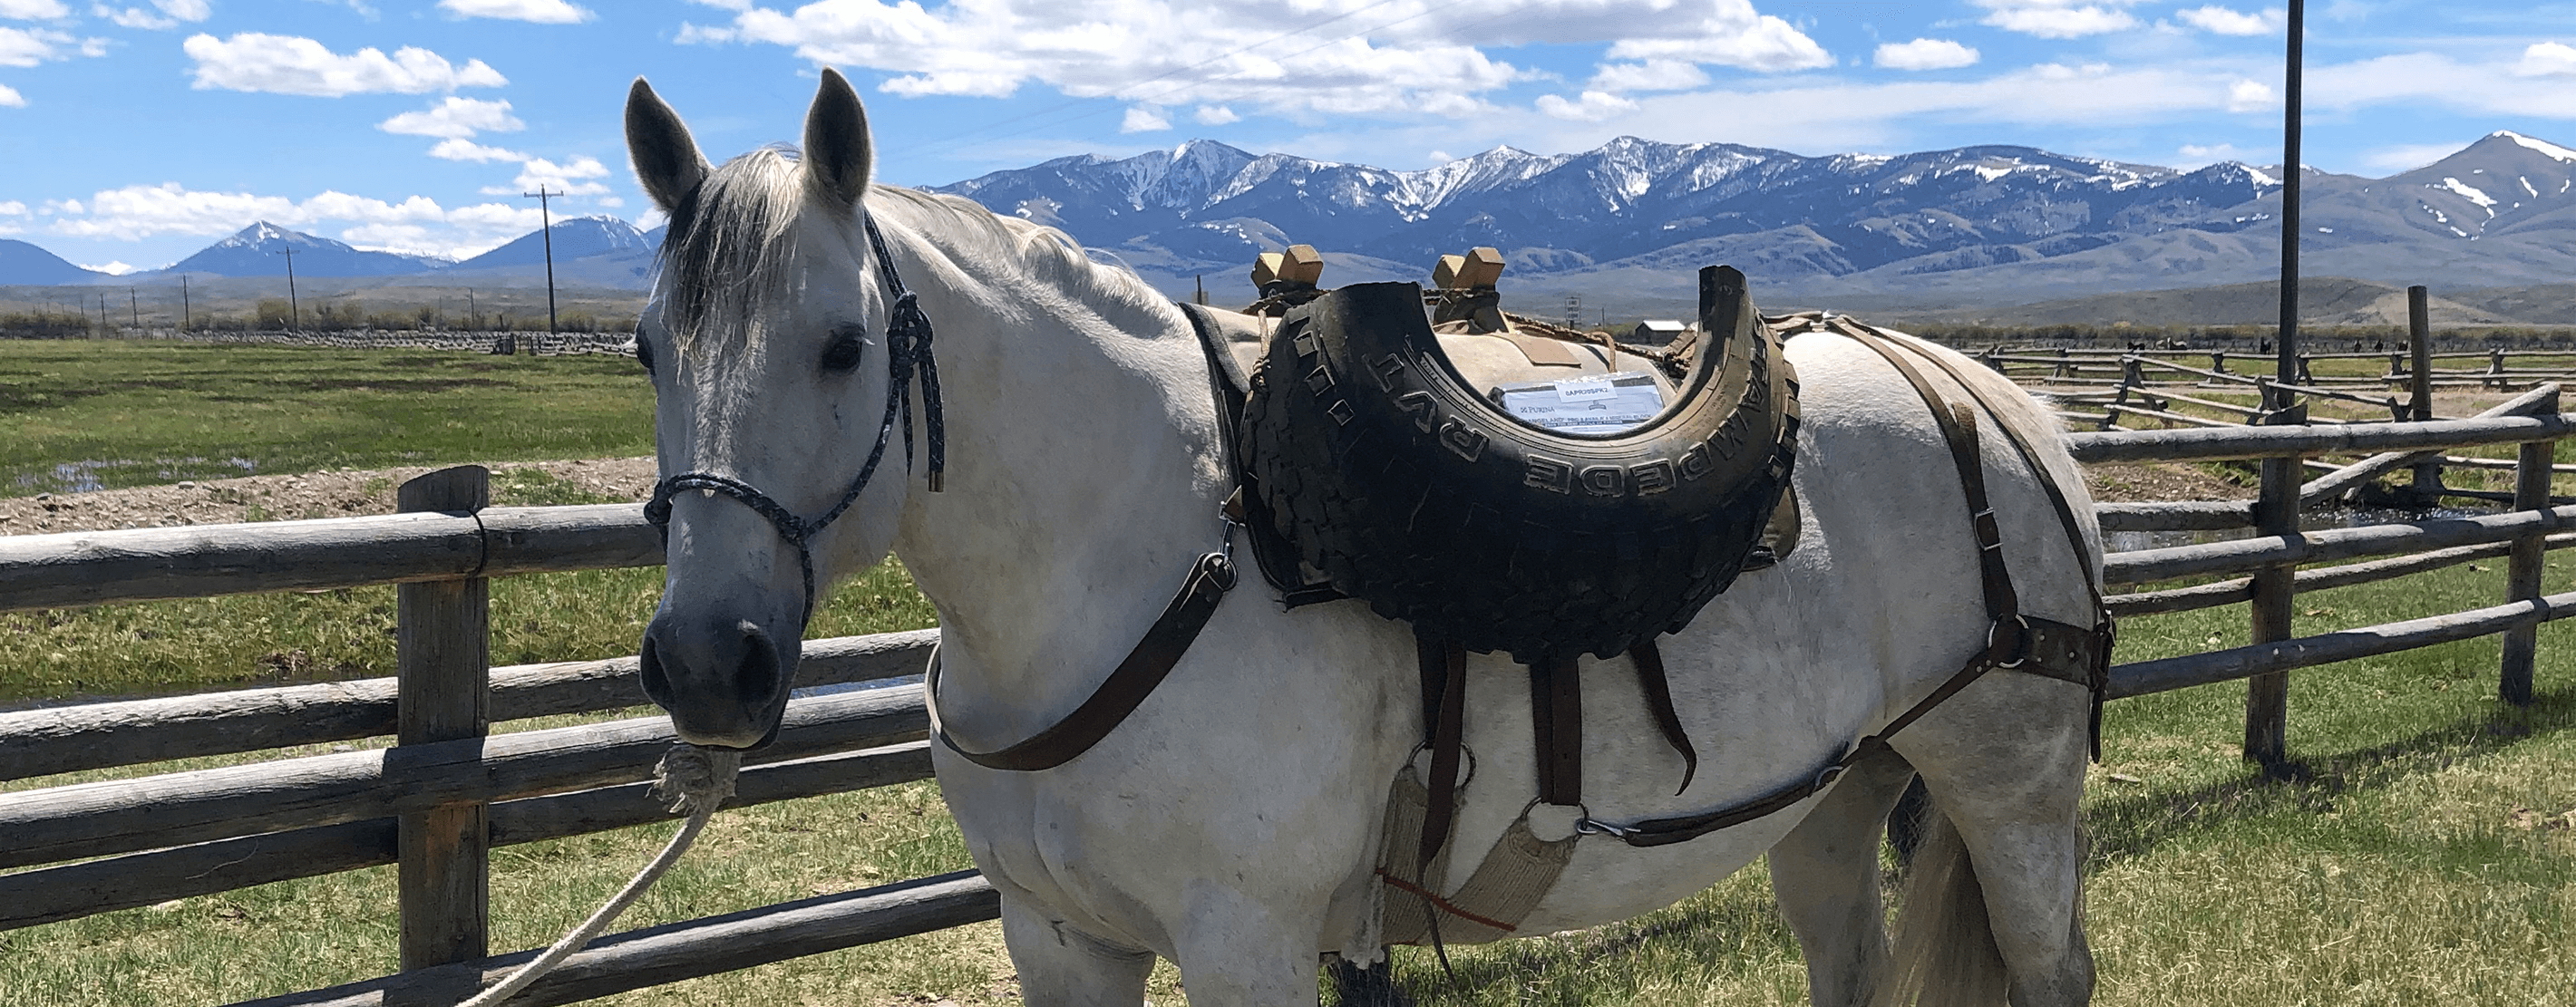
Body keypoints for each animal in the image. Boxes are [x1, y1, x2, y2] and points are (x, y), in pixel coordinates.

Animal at [623, 69, 2103, 1007]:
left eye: (842, 344)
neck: (1129, 564)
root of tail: (1996, 398)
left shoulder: (1247, 943)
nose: (706, 664)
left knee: (2052, 968)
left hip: (2010, 788)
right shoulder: (1059, 939)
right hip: (1834, 792)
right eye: (645, 349)